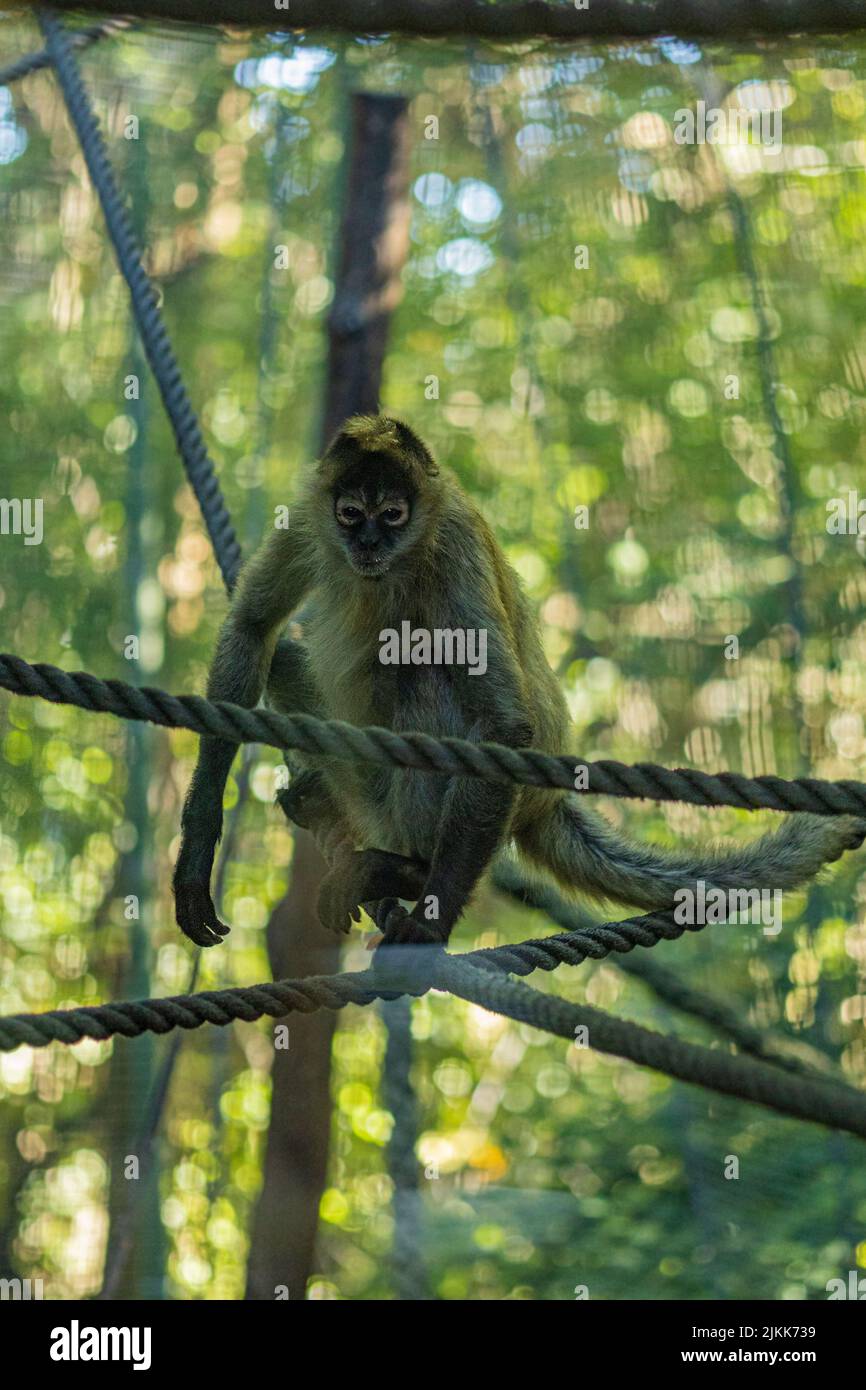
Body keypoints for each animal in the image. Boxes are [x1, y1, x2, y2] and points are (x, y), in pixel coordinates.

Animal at [173, 414, 864, 951]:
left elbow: (501, 723)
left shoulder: (450, 543)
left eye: (391, 515)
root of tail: (545, 797)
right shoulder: (310, 517)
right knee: (285, 657)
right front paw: (196, 850)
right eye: (350, 515)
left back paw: (406, 872)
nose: (367, 541)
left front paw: (430, 926)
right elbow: (253, 629)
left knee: (425, 678)